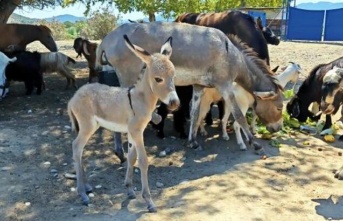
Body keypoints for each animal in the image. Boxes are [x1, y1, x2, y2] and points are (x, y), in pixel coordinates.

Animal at [67, 35, 180, 212]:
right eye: (158, 79)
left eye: (173, 76)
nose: (175, 103)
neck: (140, 99)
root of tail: (73, 97)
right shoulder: (137, 132)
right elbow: (143, 161)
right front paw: (148, 201)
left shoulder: (133, 132)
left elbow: (131, 158)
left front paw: (129, 189)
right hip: (87, 126)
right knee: (76, 147)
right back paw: (82, 194)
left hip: (92, 126)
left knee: (79, 149)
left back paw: (86, 186)